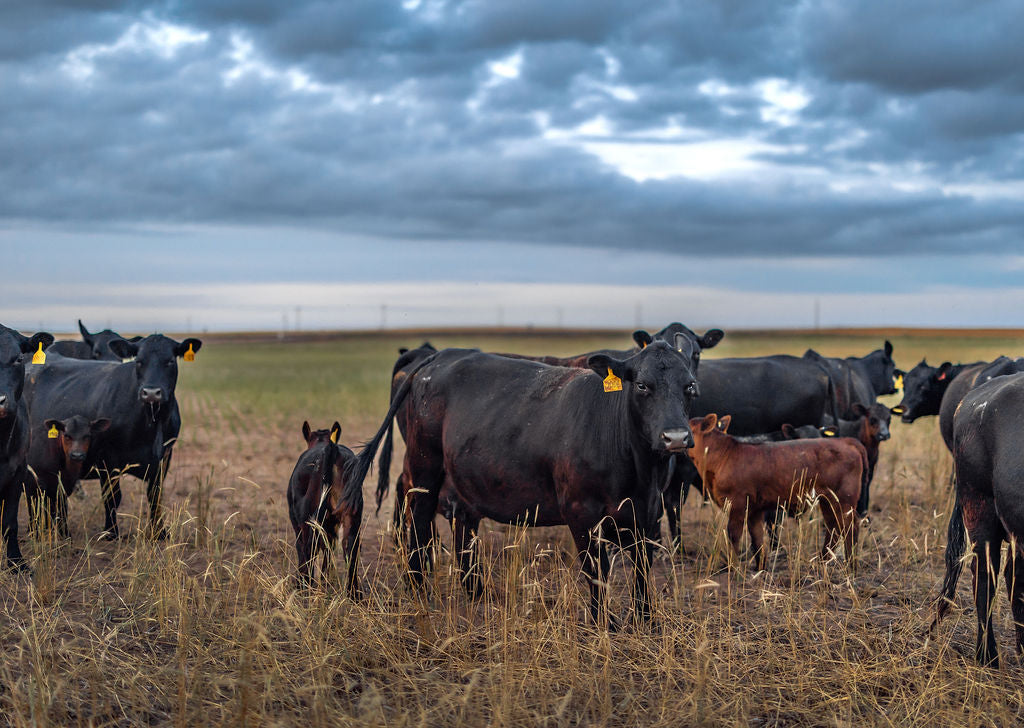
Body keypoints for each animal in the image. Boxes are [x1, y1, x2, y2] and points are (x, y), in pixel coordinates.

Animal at [24, 334, 202, 540]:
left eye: (170, 361)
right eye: (139, 361)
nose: (150, 393)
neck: (151, 422)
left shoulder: (164, 457)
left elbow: (155, 495)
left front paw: (160, 532)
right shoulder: (108, 459)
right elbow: (112, 496)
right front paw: (111, 532)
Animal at [287, 421, 362, 593]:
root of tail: (331, 449)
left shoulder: (296, 519)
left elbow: (302, 547)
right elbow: (330, 546)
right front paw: (327, 580)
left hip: (308, 518)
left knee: (309, 547)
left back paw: (304, 586)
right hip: (351, 514)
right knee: (349, 547)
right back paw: (353, 593)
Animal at [356, 341, 699, 627]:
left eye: (690, 386)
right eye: (642, 385)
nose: (676, 437)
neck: (638, 470)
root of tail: (441, 354)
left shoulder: (646, 513)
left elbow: (642, 569)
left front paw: (646, 620)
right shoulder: (582, 513)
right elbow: (596, 570)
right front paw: (604, 623)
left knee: (463, 531)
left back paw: (477, 593)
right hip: (424, 469)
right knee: (417, 523)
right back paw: (419, 588)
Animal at [687, 413, 865, 570]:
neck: (725, 455)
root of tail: (844, 441)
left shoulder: (737, 504)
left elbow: (734, 535)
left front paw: (732, 567)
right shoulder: (755, 510)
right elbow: (757, 538)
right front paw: (760, 568)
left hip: (844, 498)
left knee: (850, 525)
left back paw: (852, 565)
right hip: (827, 499)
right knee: (832, 524)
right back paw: (822, 560)